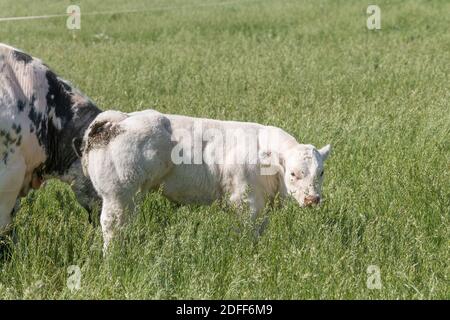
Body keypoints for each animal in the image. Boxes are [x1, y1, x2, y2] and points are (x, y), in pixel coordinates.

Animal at [76, 108, 330, 250]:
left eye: (321, 172)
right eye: (293, 173)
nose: (312, 200)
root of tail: (119, 119)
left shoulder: (262, 204)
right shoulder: (243, 201)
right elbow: (246, 232)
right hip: (119, 196)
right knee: (113, 228)